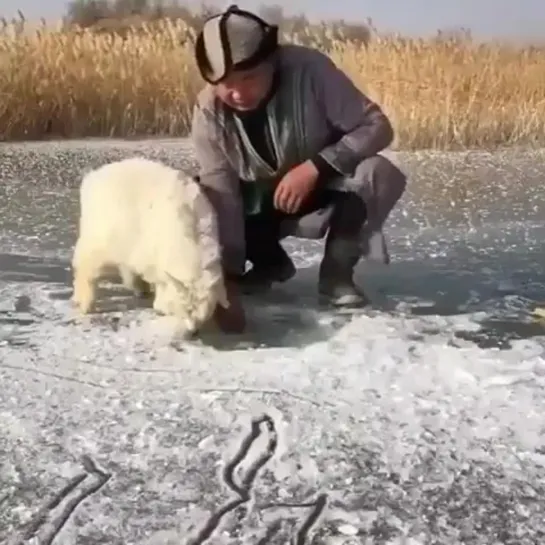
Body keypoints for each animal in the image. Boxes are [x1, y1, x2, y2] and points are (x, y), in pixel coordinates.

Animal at [69, 155, 227, 336]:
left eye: (203, 315)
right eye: (185, 309)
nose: (193, 332)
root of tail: (92, 178)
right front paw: (160, 304)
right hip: (102, 230)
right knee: (88, 263)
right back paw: (84, 302)